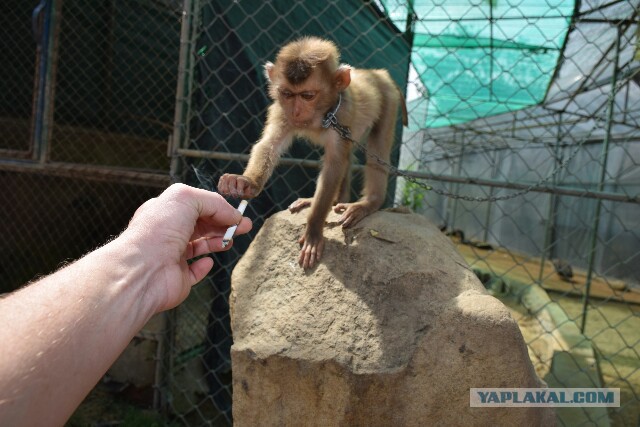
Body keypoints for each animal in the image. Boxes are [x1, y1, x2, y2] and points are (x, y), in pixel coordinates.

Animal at [218, 37, 408, 270]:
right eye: (288, 94)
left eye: (308, 96)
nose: (296, 111)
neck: (319, 117)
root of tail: (377, 73)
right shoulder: (281, 110)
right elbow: (269, 145)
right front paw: (246, 183)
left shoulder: (341, 114)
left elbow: (334, 164)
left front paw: (313, 230)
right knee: (348, 154)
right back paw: (334, 201)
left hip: (388, 98)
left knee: (376, 147)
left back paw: (369, 203)